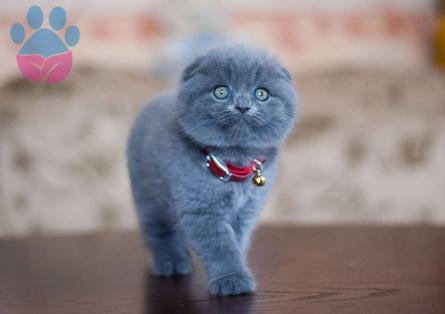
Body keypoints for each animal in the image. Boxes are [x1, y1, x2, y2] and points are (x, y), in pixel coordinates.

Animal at [126, 44, 296, 296]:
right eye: (221, 92)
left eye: (261, 94)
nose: (243, 106)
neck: (234, 162)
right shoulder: (201, 209)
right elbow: (219, 246)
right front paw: (232, 280)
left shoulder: (247, 211)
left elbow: (236, 241)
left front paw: (238, 267)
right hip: (149, 193)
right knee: (158, 230)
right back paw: (170, 263)